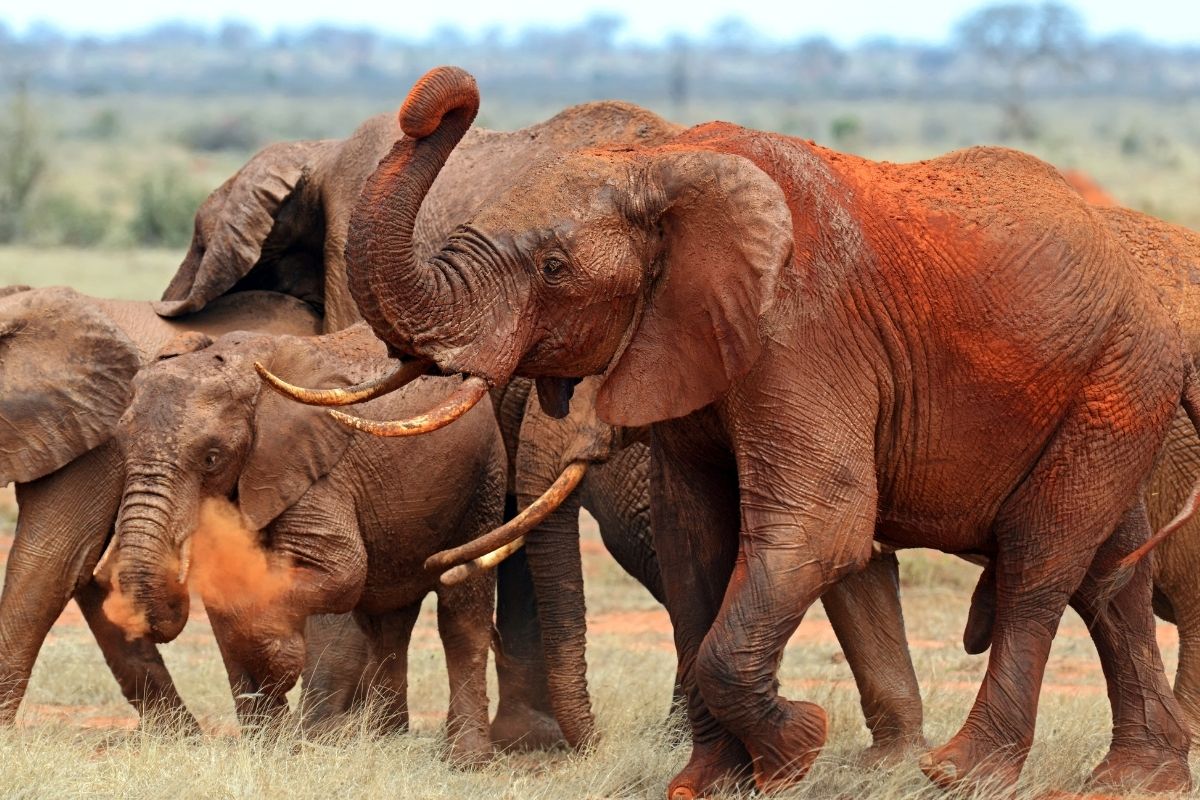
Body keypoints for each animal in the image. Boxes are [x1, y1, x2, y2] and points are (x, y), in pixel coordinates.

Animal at [99, 324, 507, 762]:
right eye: (121, 446)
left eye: (211, 458)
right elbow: (226, 594)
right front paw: (264, 747)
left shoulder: (313, 472)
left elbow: (341, 573)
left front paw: (280, 663)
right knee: (387, 623)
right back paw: (380, 740)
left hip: (484, 479)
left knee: (461, 612)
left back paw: (465, 759)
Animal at [270, 67, 1200, 797]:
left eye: (554, 269)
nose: (445, 97)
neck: (665, 167)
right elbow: (694, 538)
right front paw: (707, 783)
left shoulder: (804, 331)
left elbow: (823, 523)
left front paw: (798, 750)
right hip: (1110, 388)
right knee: (1109, 573)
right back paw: (1134, 779)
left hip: (1117, 374)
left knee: (1043, 561)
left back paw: (965, 773)